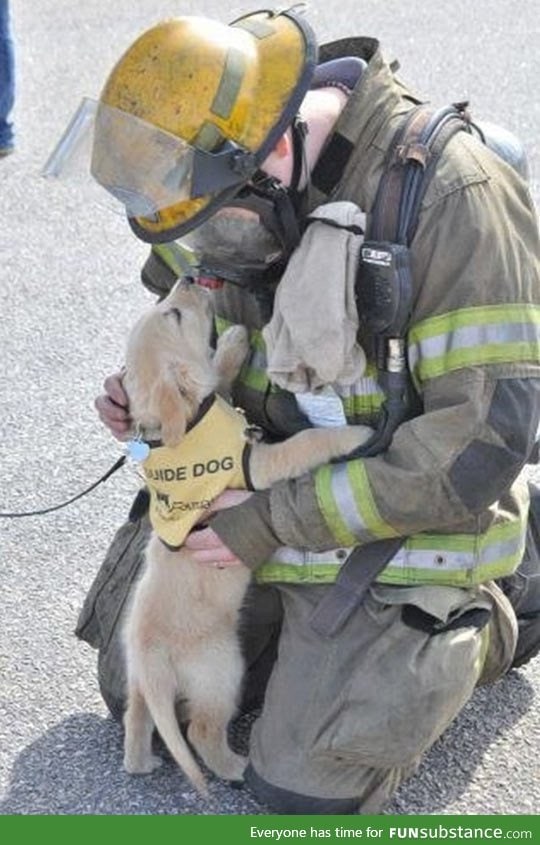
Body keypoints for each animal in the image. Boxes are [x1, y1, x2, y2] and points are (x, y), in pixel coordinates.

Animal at [121, 280, 372, 796]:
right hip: (223, 669)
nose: (190, 279)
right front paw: (355, 434)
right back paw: (234, 768)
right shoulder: (259, 464)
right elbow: (304, 443)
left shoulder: (216, 405)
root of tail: (151, 655)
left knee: (136, 718)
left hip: (137, 681)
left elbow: (216, 378)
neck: (186, 425)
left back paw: (141, 763)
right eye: (175, 315)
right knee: (200, 730)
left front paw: (234, 342)